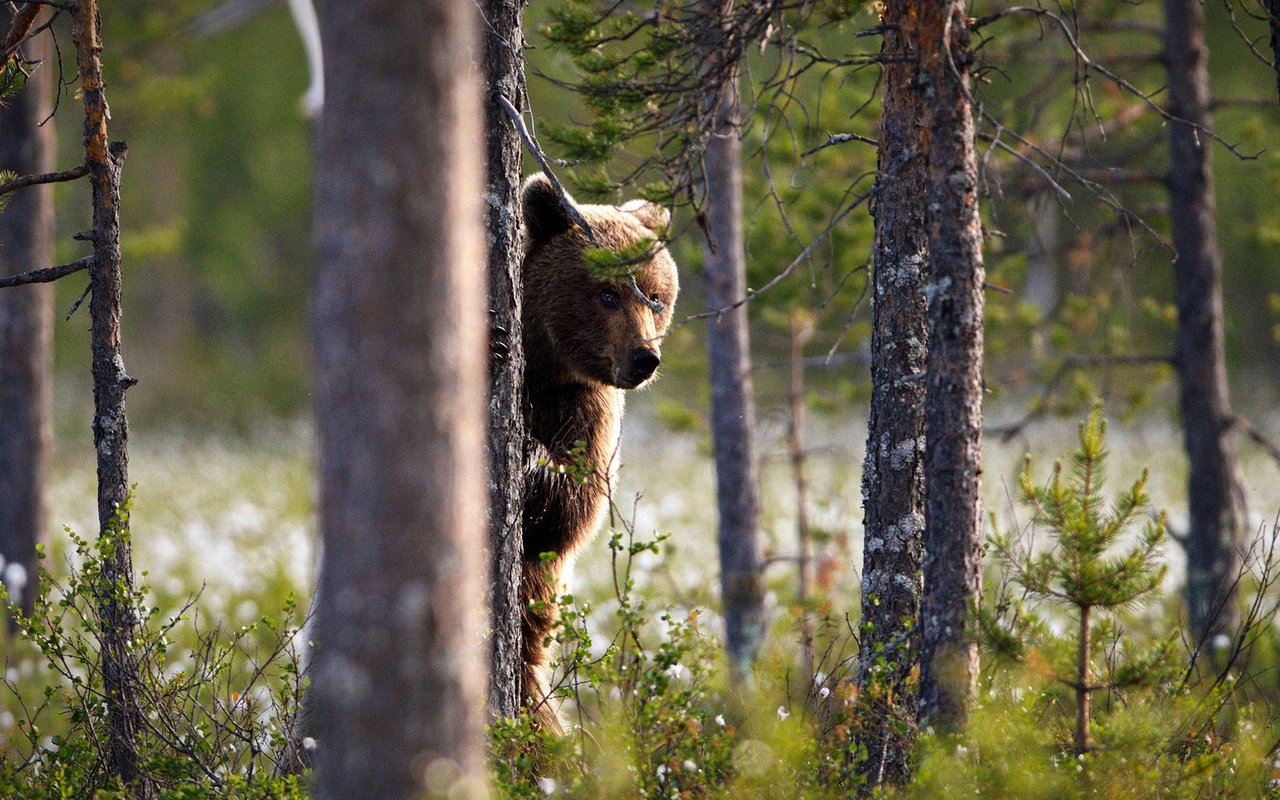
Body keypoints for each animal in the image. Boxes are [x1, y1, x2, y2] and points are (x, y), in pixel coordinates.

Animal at [517, 174, 680, 732]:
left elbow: (573, 511)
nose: (644, 357)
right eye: (607, 293)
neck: (544, 367)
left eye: (655, 297)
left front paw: (535, 460)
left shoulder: (589, 411)